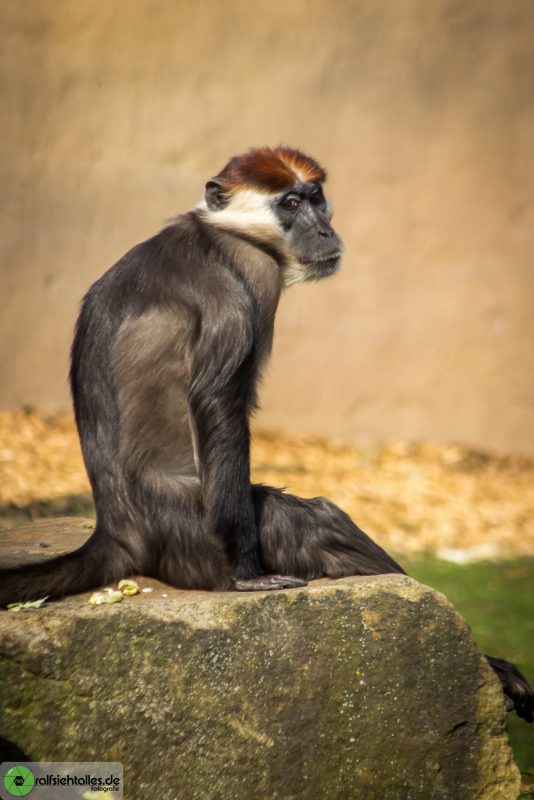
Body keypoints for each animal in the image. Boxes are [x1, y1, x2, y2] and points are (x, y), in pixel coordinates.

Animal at [0, 147, 532, 720]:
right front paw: (247, 576)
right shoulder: (244, 281)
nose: (324, 230)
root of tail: (118, 528)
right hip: (189, 532)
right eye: (290, 205)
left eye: (316, 199)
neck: (222, 231)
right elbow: (217, 403)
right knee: (317, 521)